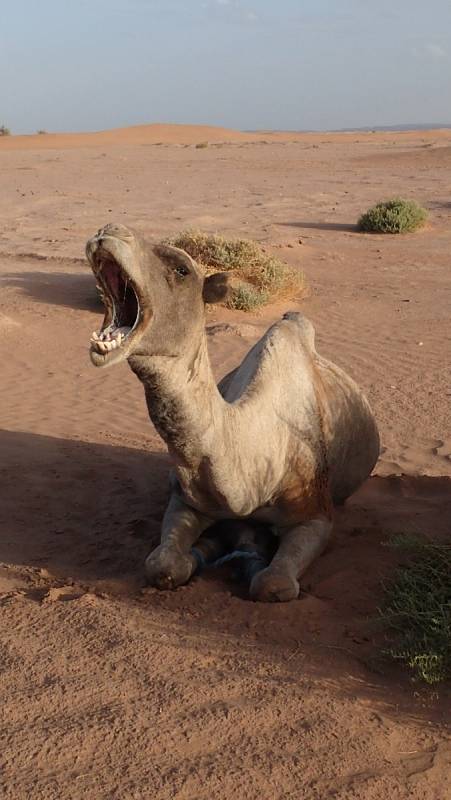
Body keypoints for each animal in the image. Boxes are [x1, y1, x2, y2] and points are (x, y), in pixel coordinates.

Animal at [85, 223, 382, 600]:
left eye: (182, 269)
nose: (109, 231)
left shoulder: (315, 512)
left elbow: (273, 583)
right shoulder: (188, 501)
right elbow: (162, 564)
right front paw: (200, 553)